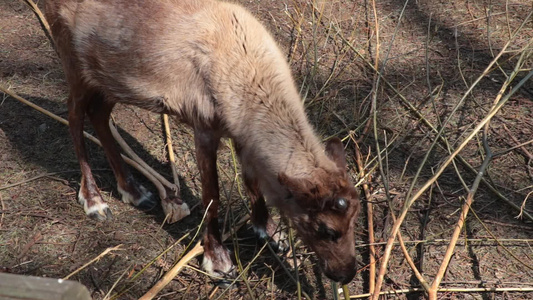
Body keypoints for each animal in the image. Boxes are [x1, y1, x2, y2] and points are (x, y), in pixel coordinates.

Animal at [45, 0, 362, 284]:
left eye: (355, 217)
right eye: (325, 229)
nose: (346, 274)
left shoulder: (241, 135)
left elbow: (253, 182)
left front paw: (268, 230)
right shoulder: (204, 126)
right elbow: (213, 196)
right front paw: (218, 261)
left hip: (108, 78)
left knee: (99, 115)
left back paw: (134, 190)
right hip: (71, 60)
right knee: (74, 115)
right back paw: (94, 200)